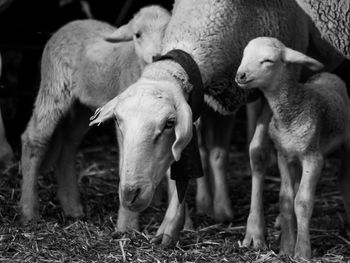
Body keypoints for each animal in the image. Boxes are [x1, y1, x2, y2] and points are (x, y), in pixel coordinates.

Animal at [19, 5, 172, 225]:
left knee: (67, 146)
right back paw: (29, 212)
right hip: (54, 84)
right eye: (138, 35)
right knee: (34, 138)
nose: (157, 55)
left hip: (84, 107)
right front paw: (128, 225)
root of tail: (71, 23)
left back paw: (72, 208)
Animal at [235, 36, 350, 260]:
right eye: (244, 55)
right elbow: (286, 200)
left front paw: (302, 252)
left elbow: (302, 202)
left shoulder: (313, 158)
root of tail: (329, 75)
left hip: (347, 142)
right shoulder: (284, 155)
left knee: (344, 180)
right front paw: (286, 248)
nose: (240, 75)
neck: (292, 110)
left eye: (268, 61)